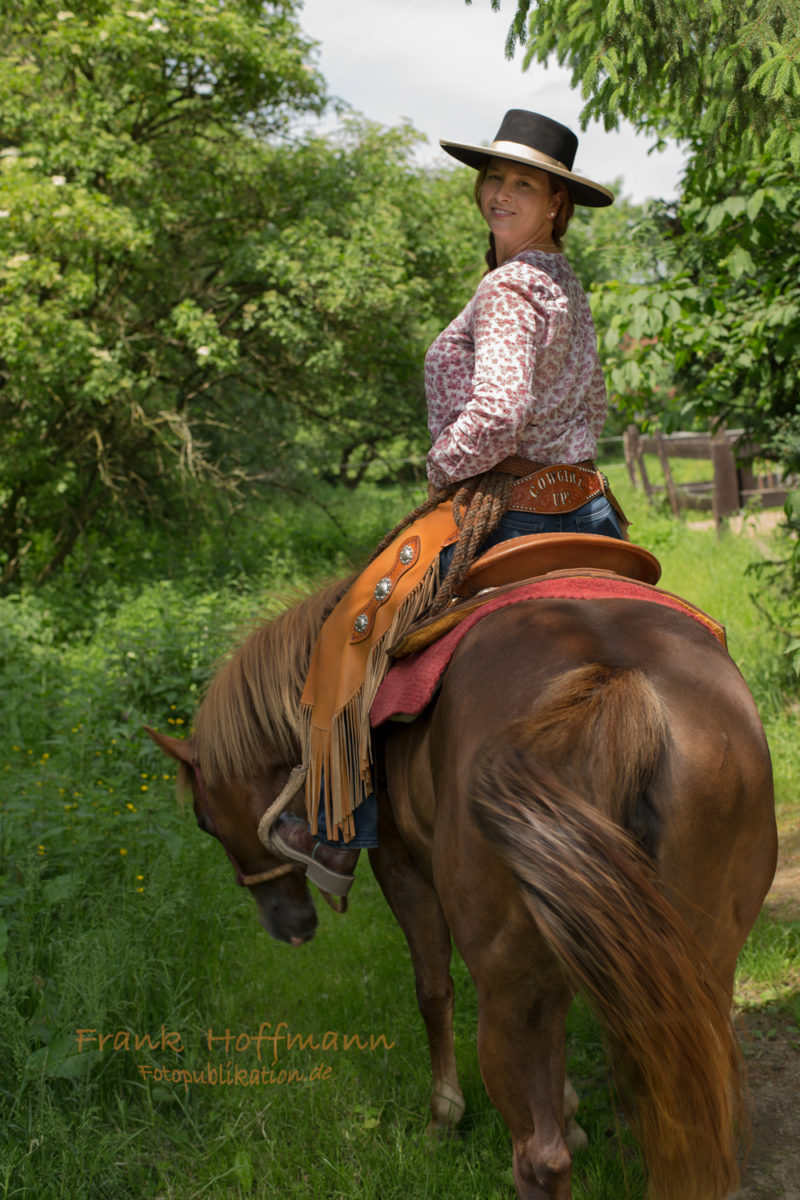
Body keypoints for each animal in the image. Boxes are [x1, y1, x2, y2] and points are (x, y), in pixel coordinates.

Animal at [146, 573, 777, 1200]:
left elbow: (432, 989)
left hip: (511, 984)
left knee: (540, 1159)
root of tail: (613, 683)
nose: (290, 927)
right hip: (696, 966)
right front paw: (572, 1109)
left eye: (203, 820)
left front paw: (443, 1118)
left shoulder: (400, 865)